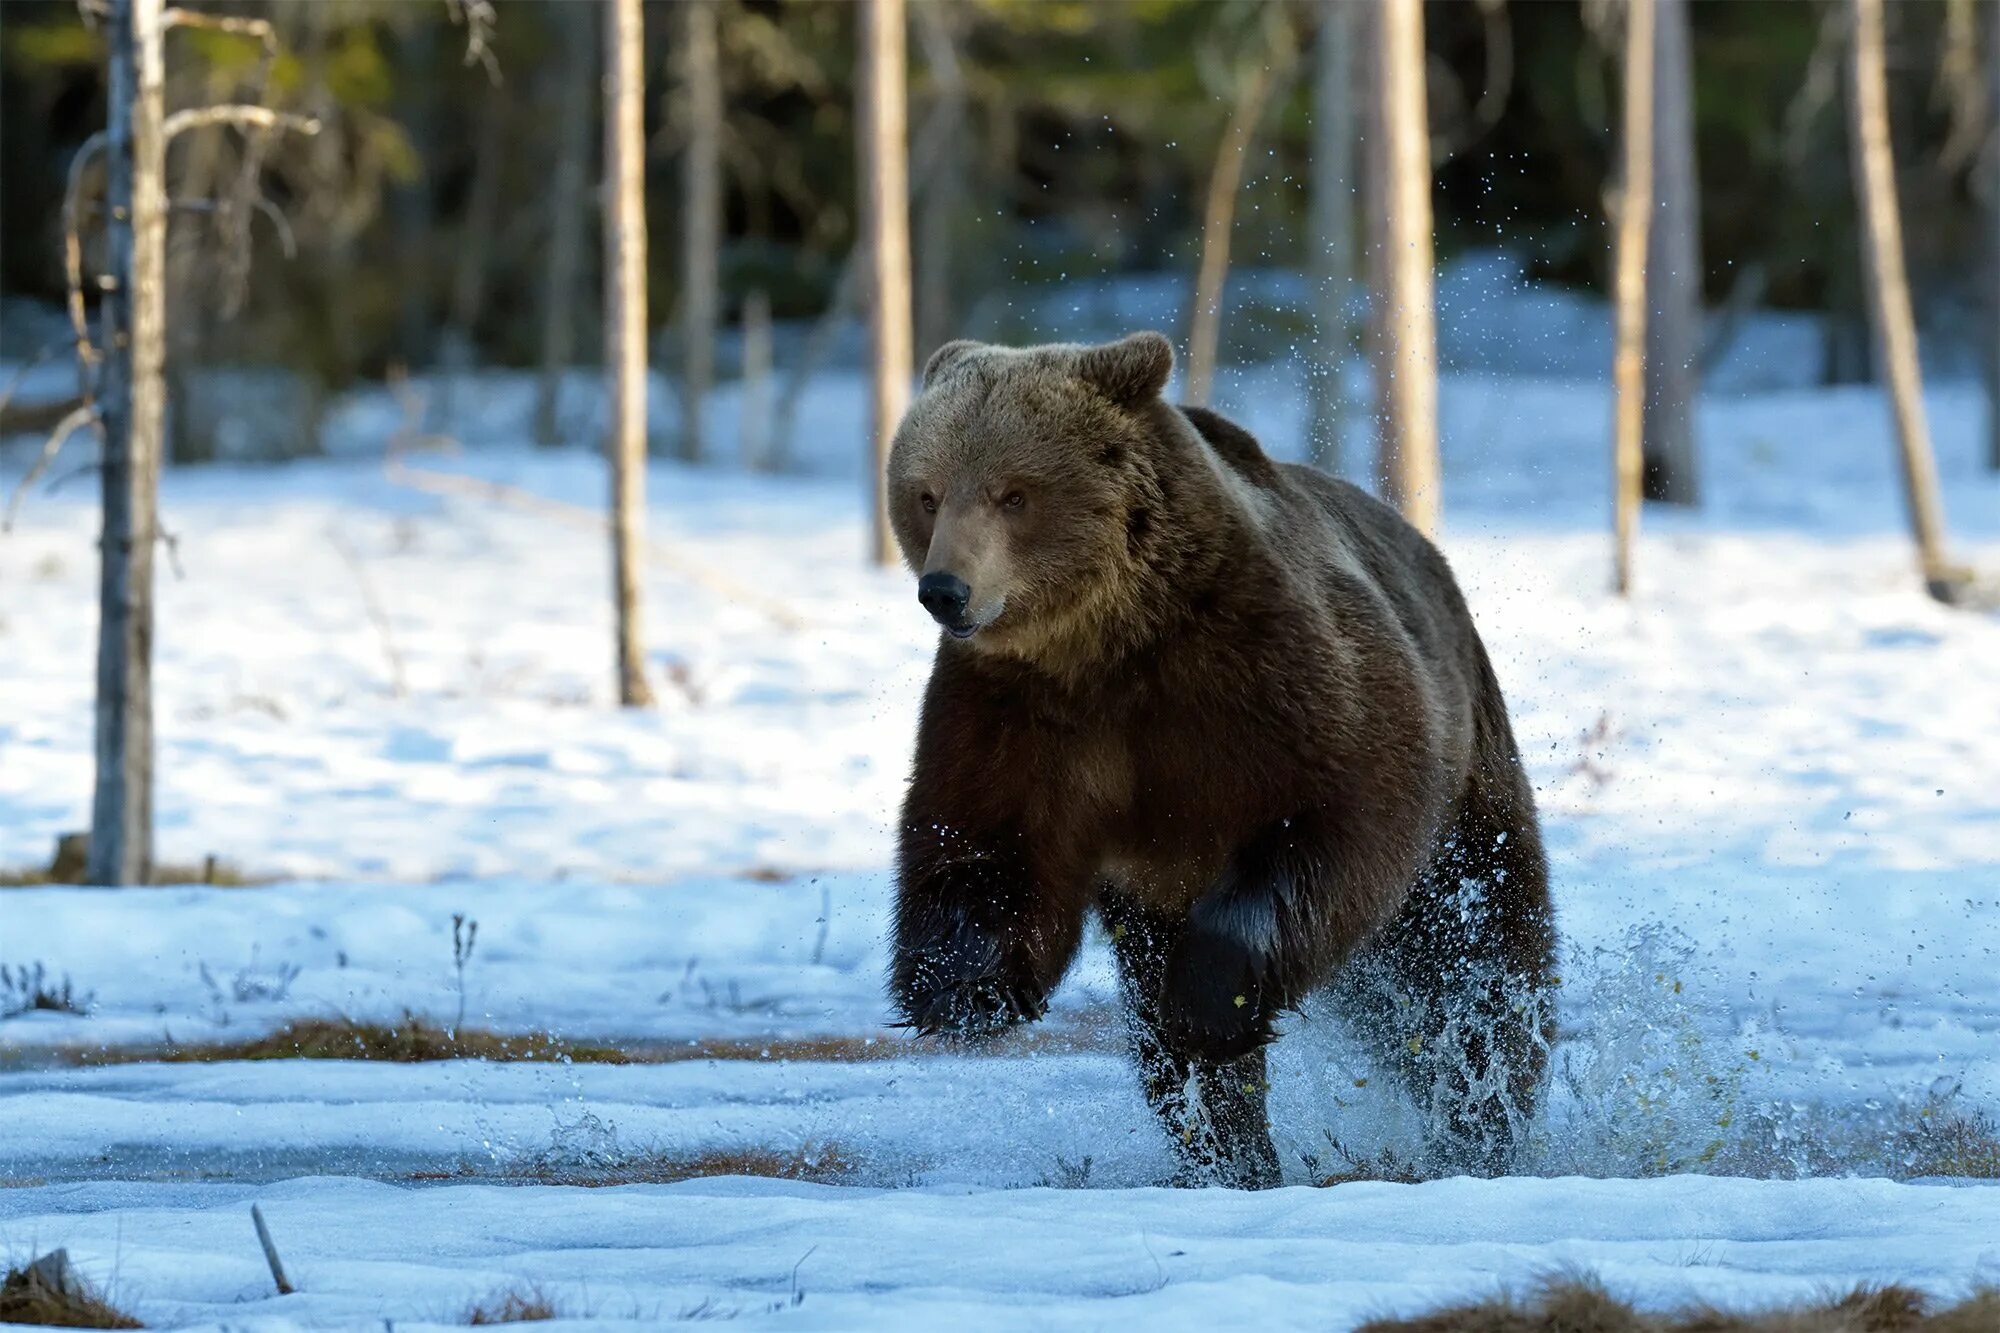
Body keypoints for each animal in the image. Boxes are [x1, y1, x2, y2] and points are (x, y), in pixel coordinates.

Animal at [884, 332, 1552, 1184]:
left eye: (1013, 494)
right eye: (927, 494)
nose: (946, 589)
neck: (1115, 639)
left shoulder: (1266, 668)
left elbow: (1343, 811)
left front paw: (1210, 997)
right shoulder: (1020, 711)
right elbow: (986, 839)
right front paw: (963, 987)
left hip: (1471, 783)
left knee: (1476, 958)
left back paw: (1485, 1115)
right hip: (1147, 903)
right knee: (1163, 1041)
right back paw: (1232, 1148)